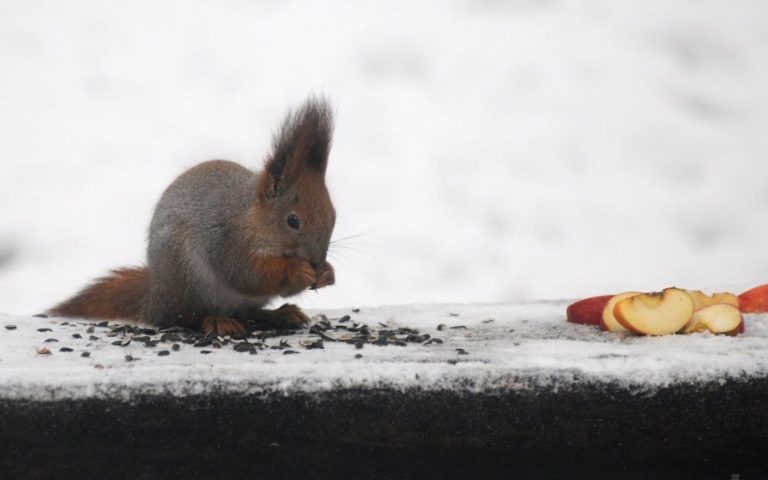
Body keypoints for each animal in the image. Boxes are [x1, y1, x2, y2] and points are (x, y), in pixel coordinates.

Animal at [47, 97, 336, 336]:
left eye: (333, 216)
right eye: (292, 220)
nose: (316, 260)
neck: (252, 218)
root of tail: (154, 297)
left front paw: (327, 273)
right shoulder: (229, 241)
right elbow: (249, 274)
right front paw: (297, 269)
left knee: (247, 312)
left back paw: (280, 314)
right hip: (185, 275)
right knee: (184, 317)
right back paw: (216, 321)